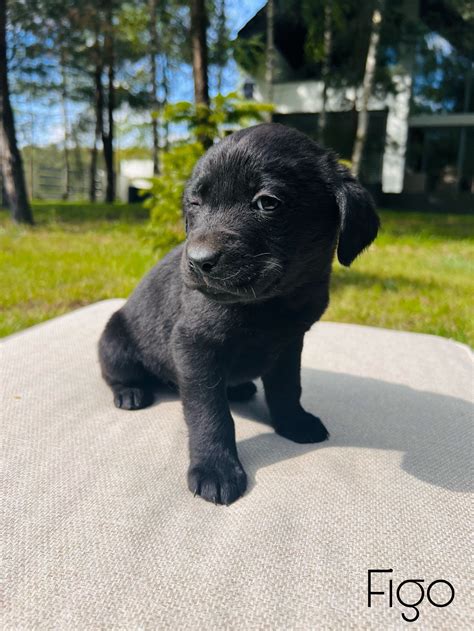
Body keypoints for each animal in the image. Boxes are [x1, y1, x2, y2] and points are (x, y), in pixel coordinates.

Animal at [99, 124, 378, 508]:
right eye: (195, 203)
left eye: (267, 202)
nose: (198, 261)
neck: (271, 304)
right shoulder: (195, 345)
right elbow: (210, 413)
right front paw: (215, 468)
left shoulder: (291, 343)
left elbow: (287, 388)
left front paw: (293, 422)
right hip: (114, 339)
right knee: (114, 372)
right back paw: (130, 392)